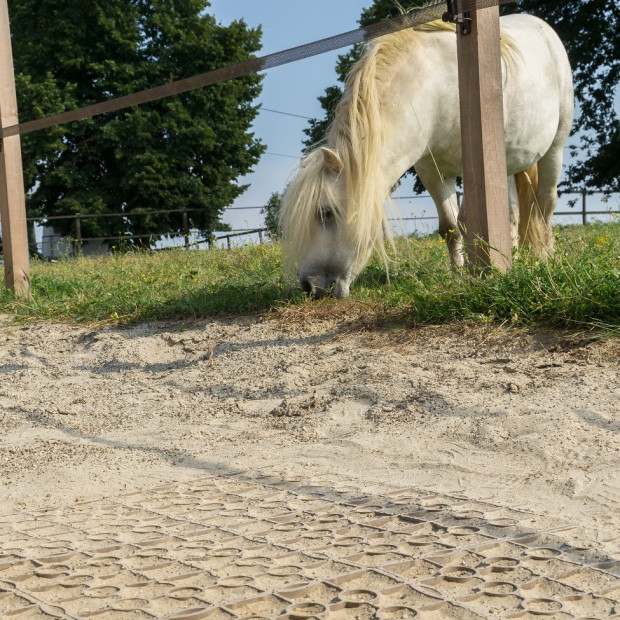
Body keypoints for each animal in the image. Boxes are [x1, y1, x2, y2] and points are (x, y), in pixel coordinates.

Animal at [280, 13, 572, 296]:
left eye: (326, 213)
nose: (310, 286)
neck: (437, 90)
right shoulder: (432, 170)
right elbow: (450, 226)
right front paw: (457, 277)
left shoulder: (471, 169)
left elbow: (468, 222)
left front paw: (475, 277)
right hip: (507, 164)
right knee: (512, 214)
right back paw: (514, 260)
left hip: (555, 149)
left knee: (545, 205)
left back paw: (547, 258)